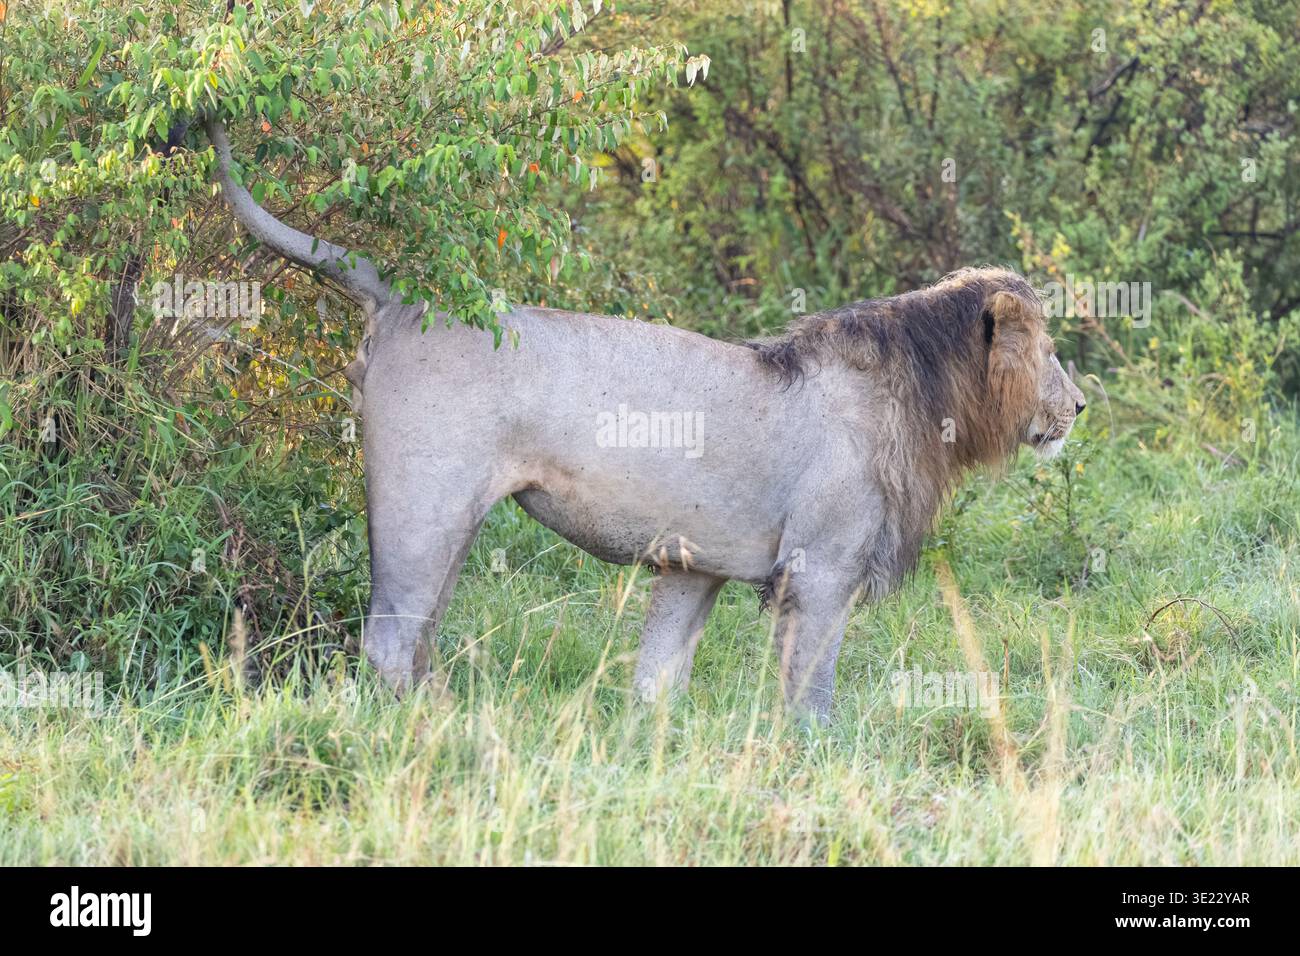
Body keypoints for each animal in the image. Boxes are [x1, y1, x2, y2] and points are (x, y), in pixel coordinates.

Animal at [207, 119, 1086, 721]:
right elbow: (811, 689)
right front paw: (820, 759)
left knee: (417, 637)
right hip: (424, 504)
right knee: (389, 640)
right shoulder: (822, 567)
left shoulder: (695, 565)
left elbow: (658, 677)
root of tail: (401, 298)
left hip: (449, 520)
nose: (1079, 404)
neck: (923, 393)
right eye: (1048, 348)